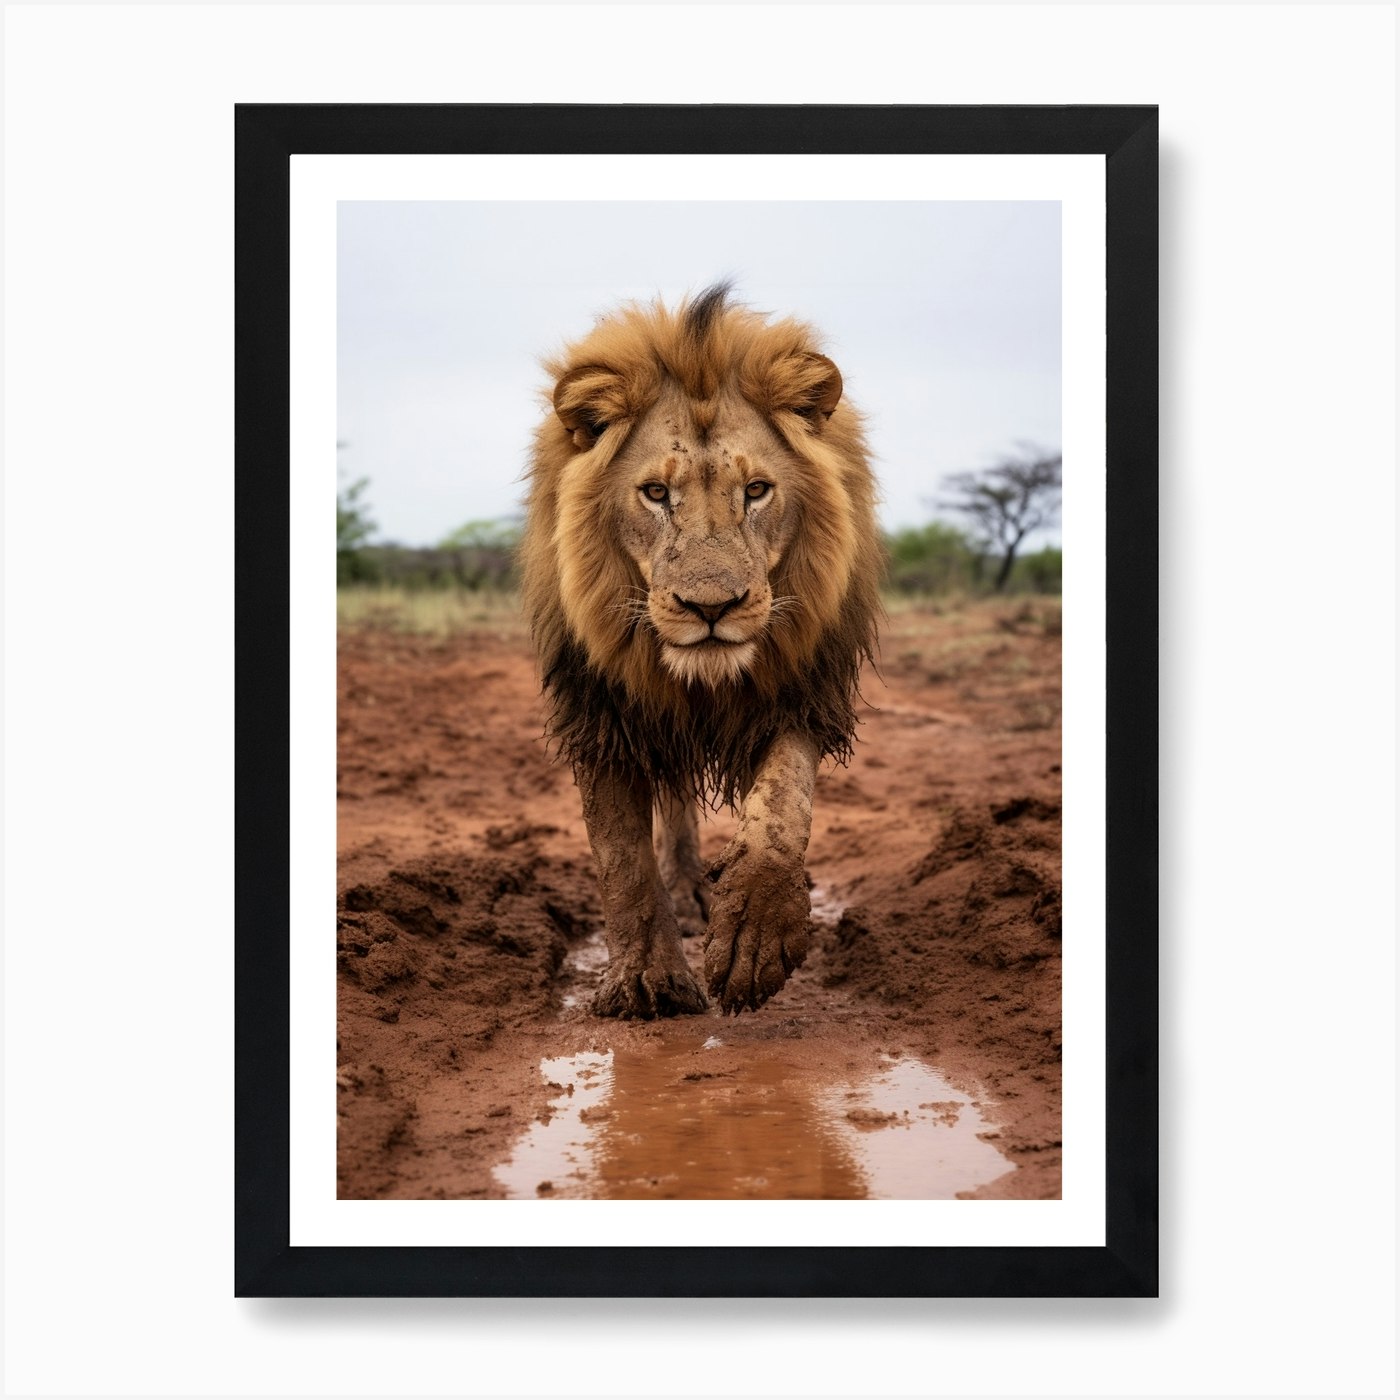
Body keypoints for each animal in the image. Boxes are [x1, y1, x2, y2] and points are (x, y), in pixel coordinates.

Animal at [521, 283, 882, 1018]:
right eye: (657, 493)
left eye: (757, 491)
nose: (710, 609)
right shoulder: (601, 709)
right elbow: (622, 856)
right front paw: (646, 981)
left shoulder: (803, 690)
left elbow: (781, 805)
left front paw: (752, 934)